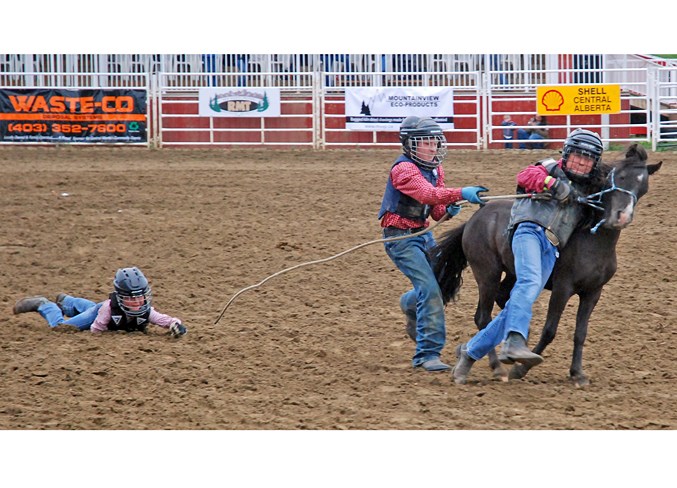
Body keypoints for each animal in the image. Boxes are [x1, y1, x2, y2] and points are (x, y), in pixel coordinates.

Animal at [434, 143, 660, 386]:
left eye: (643, 186)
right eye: (619, 177)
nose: (622, 217)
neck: (592, 242)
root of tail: (475, 217)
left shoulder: (593, 292)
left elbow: (581, 333)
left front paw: (577, 373)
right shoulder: (562, 288)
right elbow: (550, 330)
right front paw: (521, 369)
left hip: (512, 273)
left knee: (505, 300)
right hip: (487, 275)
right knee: (483, 317)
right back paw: (495, 367)